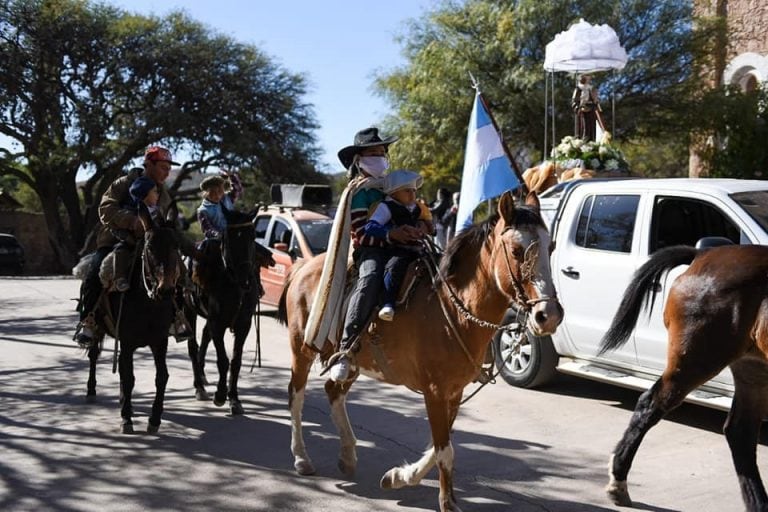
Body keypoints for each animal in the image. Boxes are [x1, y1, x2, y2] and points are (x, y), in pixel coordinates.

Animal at [278, 191, 564, 512]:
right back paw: (302, 458)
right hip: (301, 349)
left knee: (333, 390)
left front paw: (399, 477)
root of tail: (303, 266)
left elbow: (440, 445)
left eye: (550, 246)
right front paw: (446, 502)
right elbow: (444, 450)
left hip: (352, 362)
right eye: (516, 250)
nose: (549, 315)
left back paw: (348, 455)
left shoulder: (453, 391)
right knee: (296, 397)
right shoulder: (435, 390)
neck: (452, 308)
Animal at [600, 245, 768, 512]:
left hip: (753, 369)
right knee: (649, 405)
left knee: (740, 433)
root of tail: (703, 254)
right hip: (696, 361)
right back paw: (618, 481)